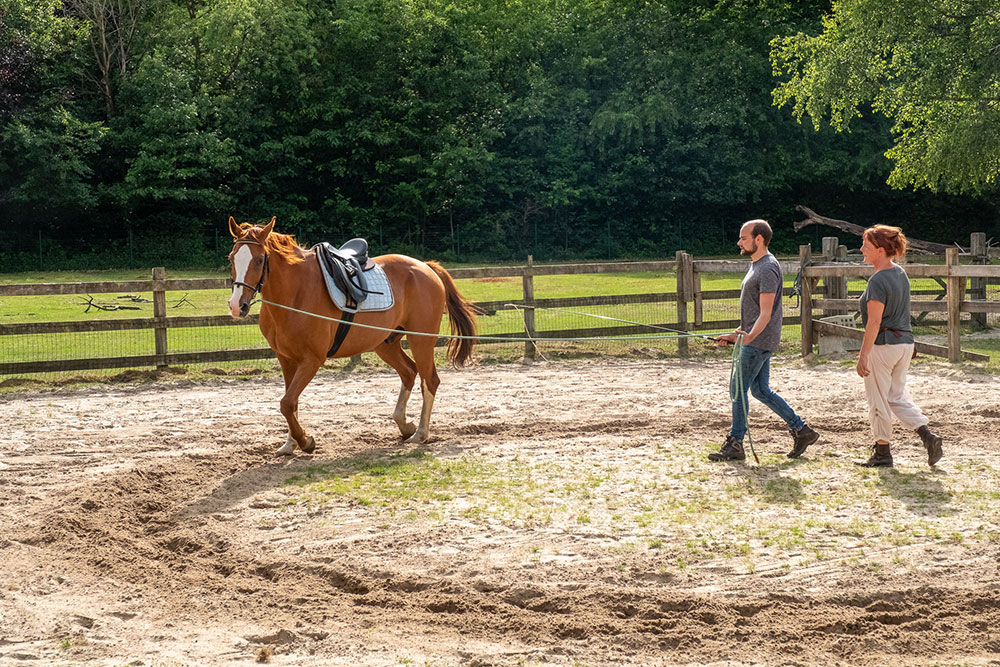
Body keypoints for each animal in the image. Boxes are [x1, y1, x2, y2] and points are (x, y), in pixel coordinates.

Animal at [229, 217, 478, 456]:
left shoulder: (312, 360)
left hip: (421, 340)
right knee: (409, 372)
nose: (236, 306)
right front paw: (291, 444)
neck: (295, 293)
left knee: (430, 380)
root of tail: (425, 266)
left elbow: (287, 403)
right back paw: (405, 425)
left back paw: (421, 433)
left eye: (259, 260)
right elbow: (291, 402)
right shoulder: (286, 359)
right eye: (232, 259)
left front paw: (306, 442)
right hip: (385, 344)